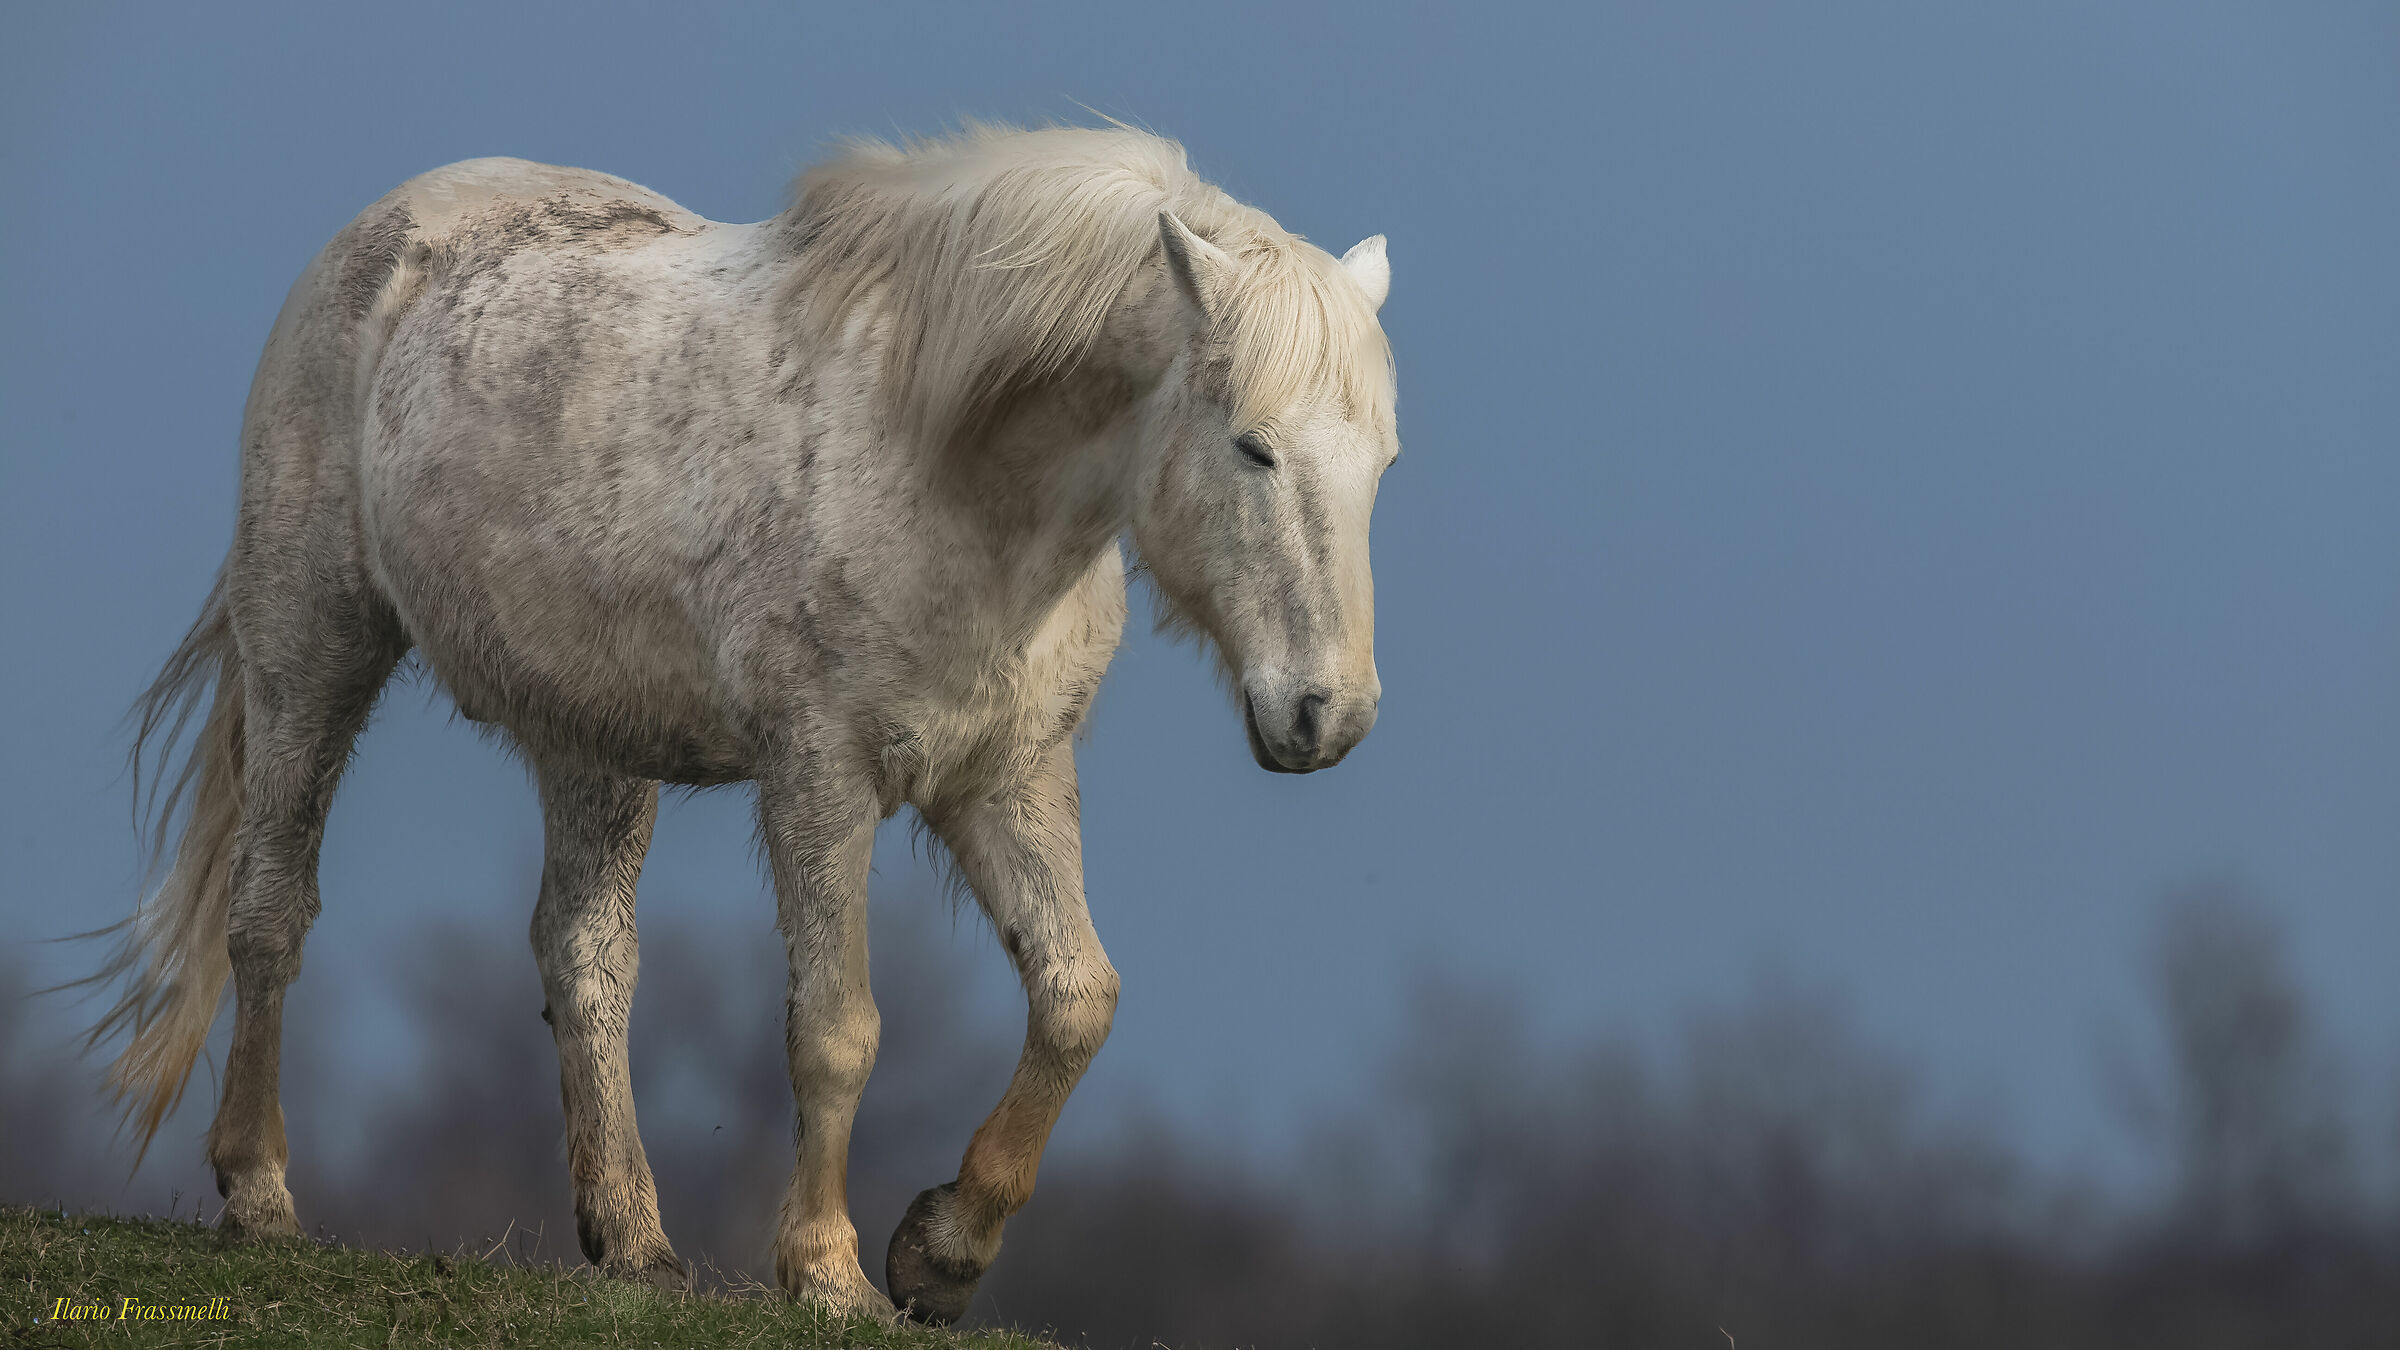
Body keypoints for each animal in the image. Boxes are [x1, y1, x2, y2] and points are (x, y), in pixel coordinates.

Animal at [87, 123, 1397, 1322]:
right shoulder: (821, 776)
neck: (949, 472)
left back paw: (634, 1242)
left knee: (585, 955)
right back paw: (259, 1193)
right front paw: (826, 1273)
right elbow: (838, 1029)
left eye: (1381, 462)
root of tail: (389, 227)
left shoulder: (1007, 778)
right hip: (312, 646)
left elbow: (1078, 1000)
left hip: (592, 745)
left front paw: (941, 1252)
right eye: (1252, 446)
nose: (1326, 715)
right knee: (268, 916)